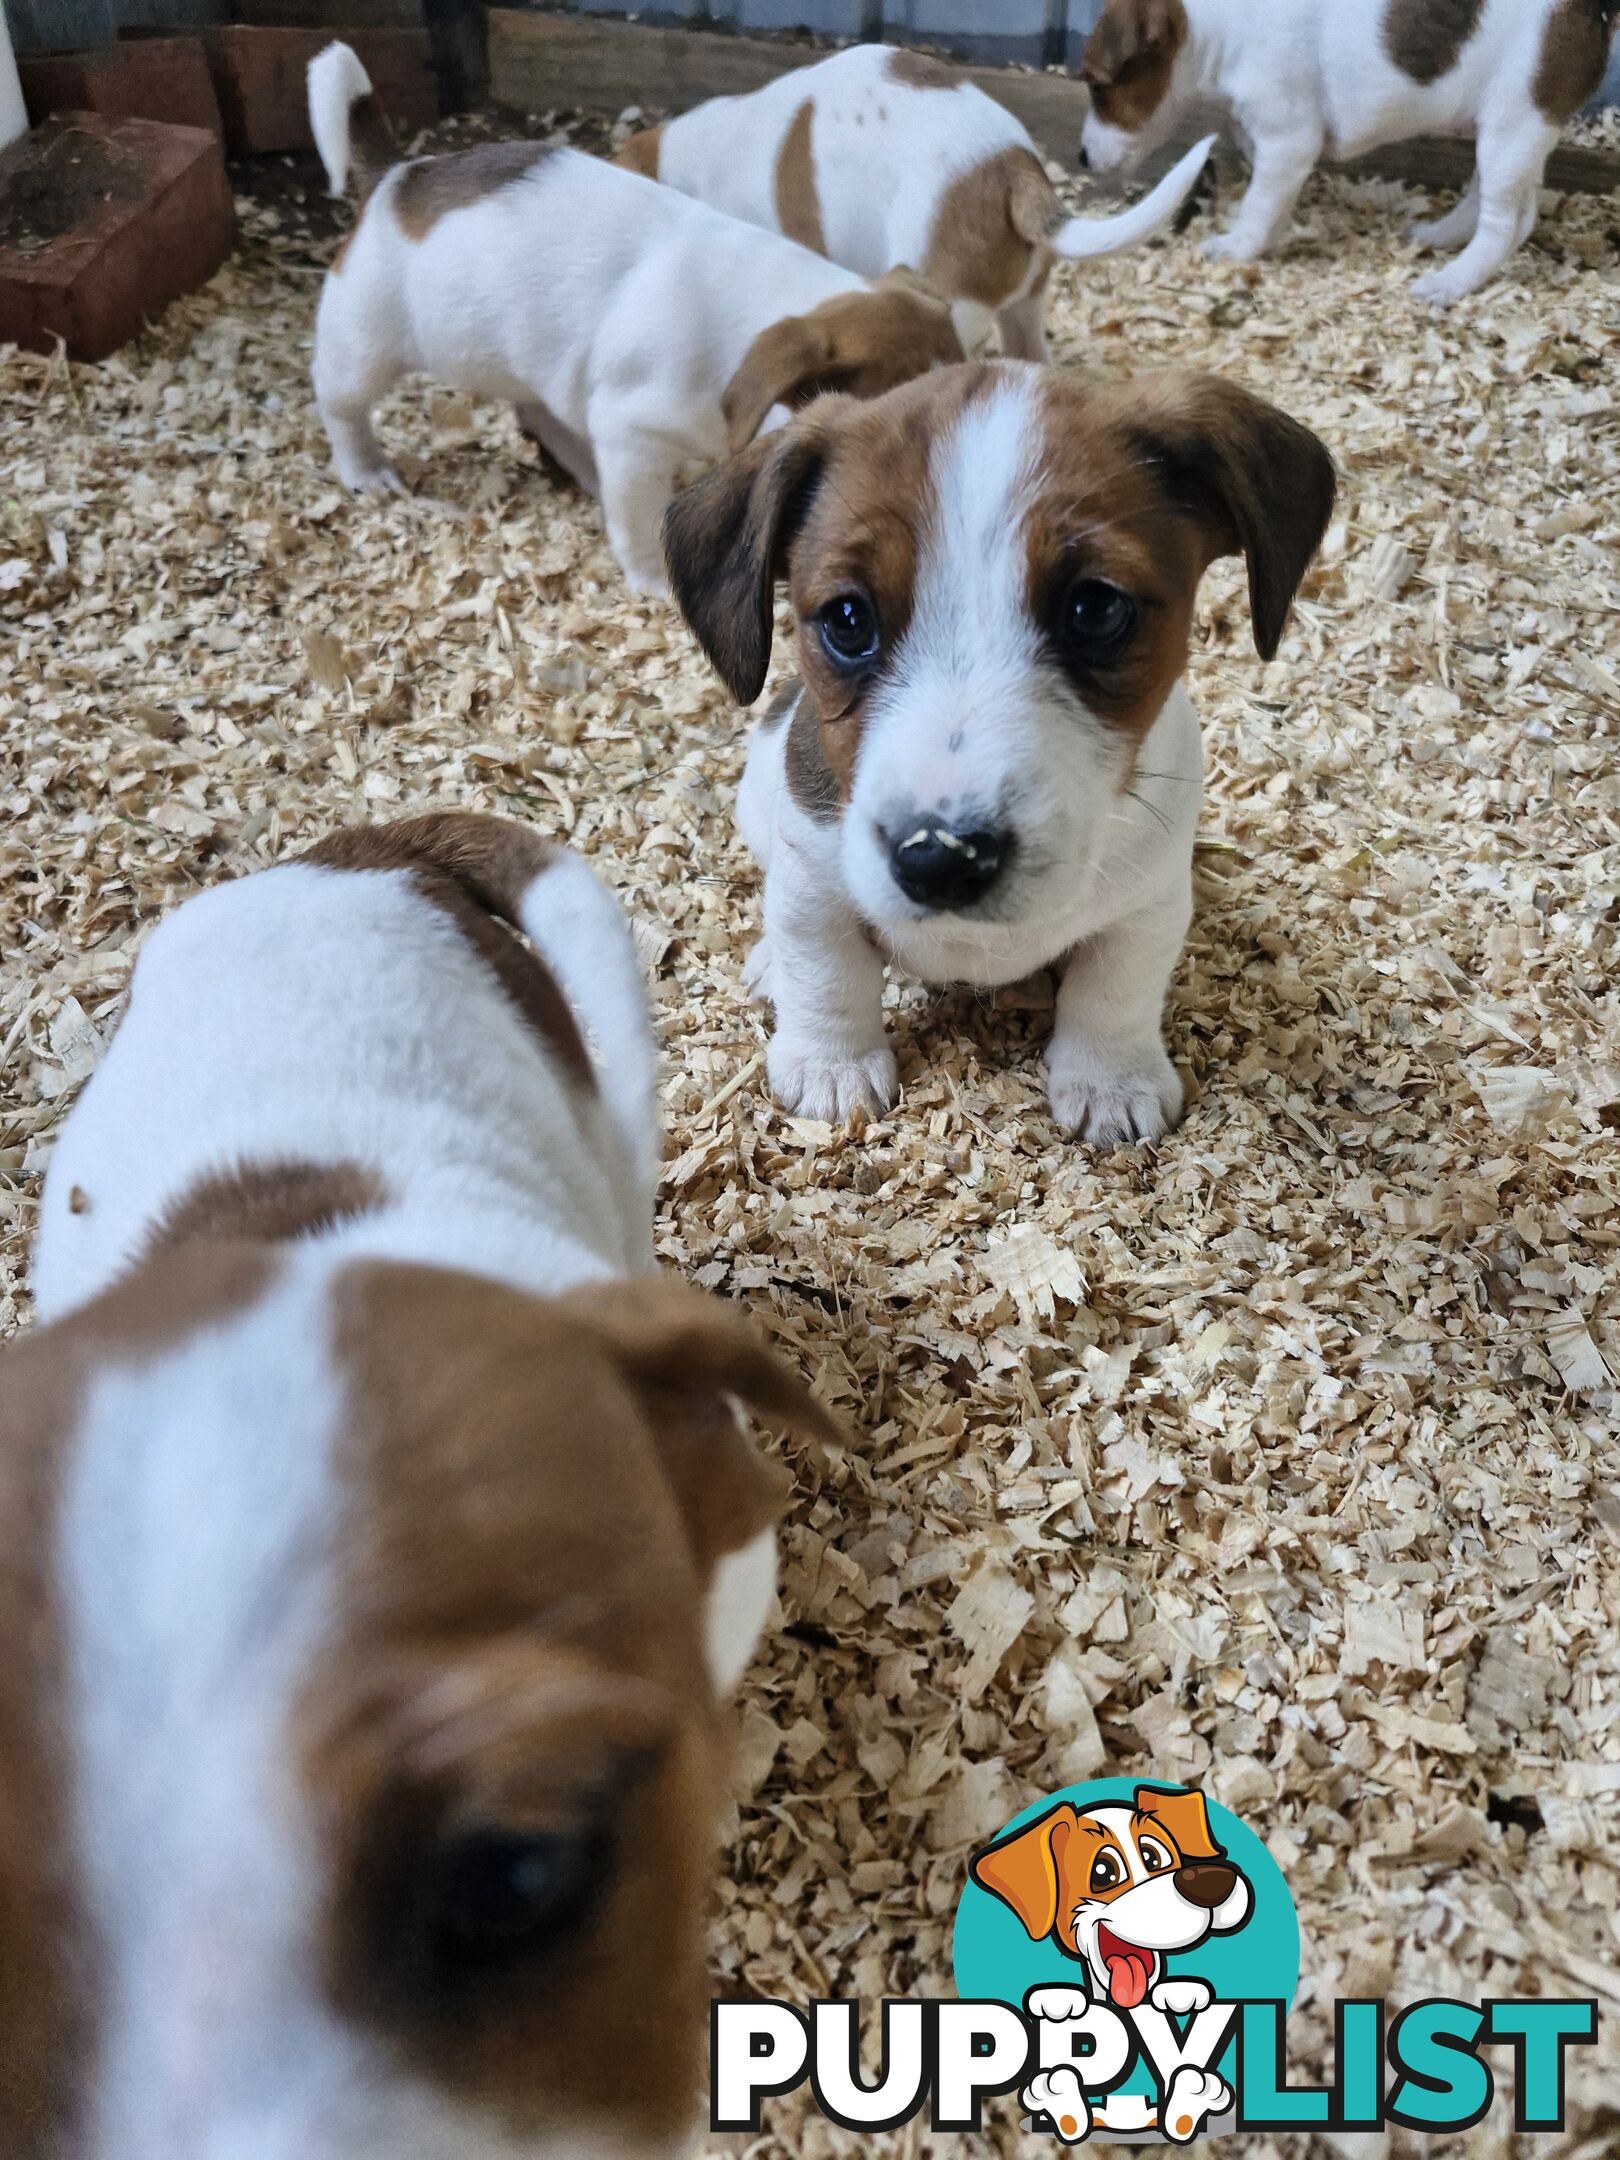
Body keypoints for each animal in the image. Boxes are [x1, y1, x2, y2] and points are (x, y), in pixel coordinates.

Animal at [665, 358, 1339, 1149]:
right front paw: (832, 1066)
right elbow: (825, 969)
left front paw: (1111, 1080)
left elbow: (1116, 991)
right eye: (847, 619)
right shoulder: (811, 878)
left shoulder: (1148, 906)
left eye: (1096, 609)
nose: (940, 857)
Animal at [1071, 0, 1615, 304]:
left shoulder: (1288, 140)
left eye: (1097, 87)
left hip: (1512, 126)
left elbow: (1259, 203)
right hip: (1504, 132)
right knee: (1506, 206)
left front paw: (1237, 247)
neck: (1218, 28)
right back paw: (1439, 236)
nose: (1081, 158)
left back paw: (1451, 282)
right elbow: (1269, 199)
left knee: (1505, 225)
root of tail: (1590, 10)